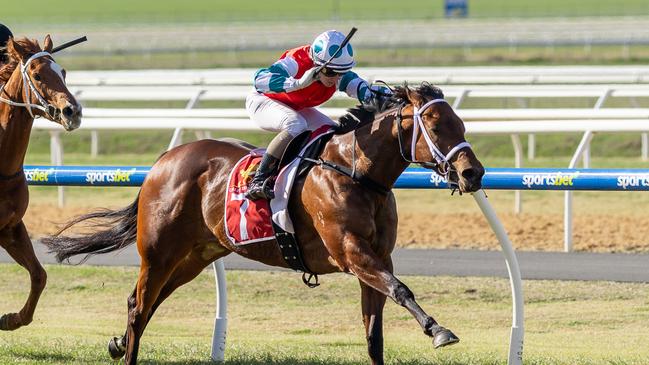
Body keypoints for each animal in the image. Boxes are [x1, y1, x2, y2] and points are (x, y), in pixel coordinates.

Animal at [0, 36, 82, 330]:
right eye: (36, 75)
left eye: (63, 72)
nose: (73, 111)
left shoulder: (10, 227)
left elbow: (39, 275)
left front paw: (12, 318)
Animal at [44, 83, 480, 364]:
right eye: (436, 126)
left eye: (461, 124)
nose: (473, 173)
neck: (357, 172)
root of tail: (163, 161)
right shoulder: (351, 252)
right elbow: (401, 289)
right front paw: (439, 331)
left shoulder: (376, 258)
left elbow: (375, 334)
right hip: (158, 251)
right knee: (140, 307)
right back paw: (126, 348)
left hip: (195, 255)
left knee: (145, 303)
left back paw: (118, 344)